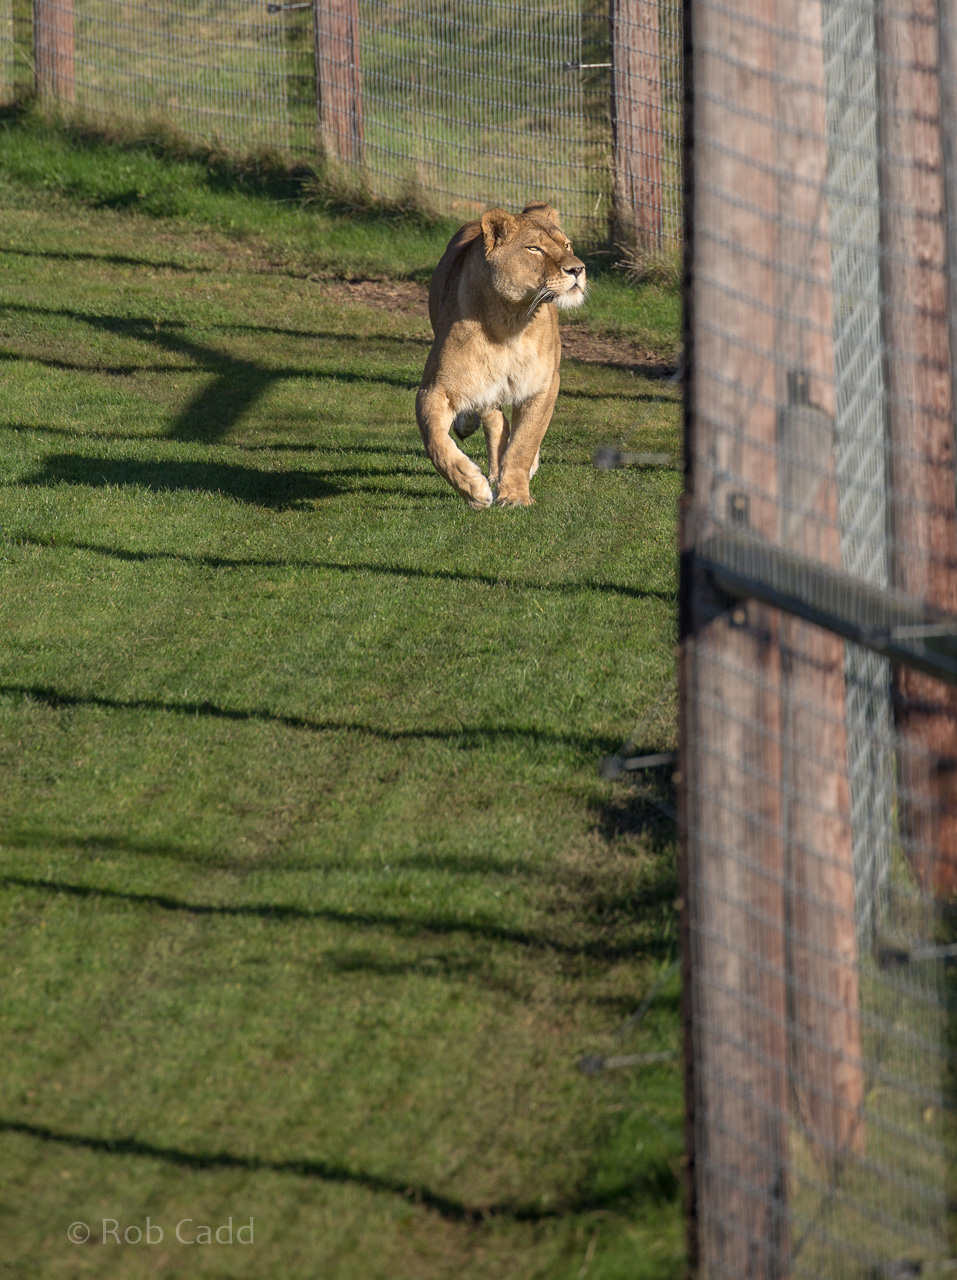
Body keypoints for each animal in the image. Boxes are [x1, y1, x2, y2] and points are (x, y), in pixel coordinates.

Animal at [416, 201, 586, 508]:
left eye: (566, 245)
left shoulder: (544, 385)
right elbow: (435, 441)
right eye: (535, 249)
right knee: (494, 418)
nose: (578, 269)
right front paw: (472, 488)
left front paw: (516, 494)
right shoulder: (434, 389)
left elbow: (525, 442)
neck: (511, 321)